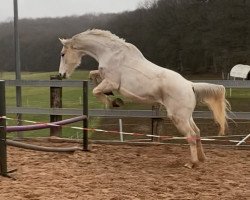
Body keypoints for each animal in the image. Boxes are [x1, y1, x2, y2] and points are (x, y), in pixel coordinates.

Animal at [57, 28, 229, 168]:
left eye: (63, 54)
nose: (61, 75)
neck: (110, 53)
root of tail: (190, 85)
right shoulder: (105, 78)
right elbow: (93, 75)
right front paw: (112, 98)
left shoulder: (112, 82)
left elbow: (96, 90)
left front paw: (113, 102)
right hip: (187, 117)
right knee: (197, 132)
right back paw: (202, 159)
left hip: (178, 117)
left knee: (191, 135)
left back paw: (192, 163)